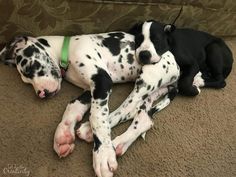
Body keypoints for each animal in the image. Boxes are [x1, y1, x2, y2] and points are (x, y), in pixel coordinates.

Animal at [0, 33, 179, 177]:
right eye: (27, 81)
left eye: (31, 68)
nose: (41, 93)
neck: (67, 50)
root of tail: (176, 68)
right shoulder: (88, 89)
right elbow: (73, 105)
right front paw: (64, 133)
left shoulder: (102, 81)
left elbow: (98, 118)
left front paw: (103, 155)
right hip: (151, 92)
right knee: (141, 118)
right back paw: (119, 143)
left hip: (147, 78)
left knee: (125, 108)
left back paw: (92, 133)